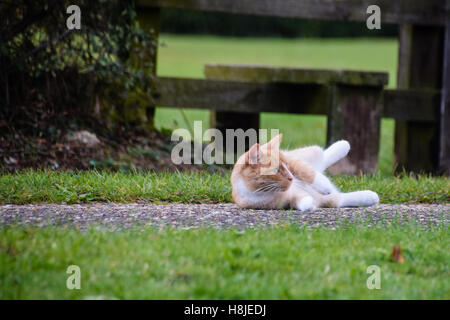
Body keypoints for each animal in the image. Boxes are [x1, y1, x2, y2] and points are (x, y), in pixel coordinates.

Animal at [232, 134, 380, 211]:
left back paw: (343, 145)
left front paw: (324, 185)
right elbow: (333, 200)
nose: (291, 178)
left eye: (286, 166)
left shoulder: (293, 162)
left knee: (320, 156)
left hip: (306, 154)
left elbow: (306, 171)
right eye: (276, 171)